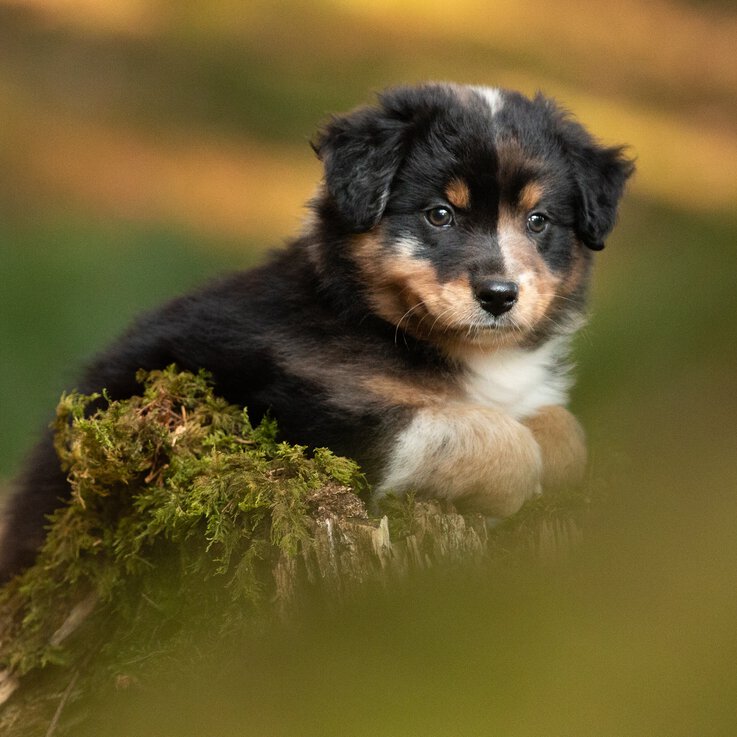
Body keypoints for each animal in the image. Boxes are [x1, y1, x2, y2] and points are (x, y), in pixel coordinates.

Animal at [0, 85, 632, 580]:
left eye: (538, 221)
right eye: (439, 215)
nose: (499, 296)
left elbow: (565, 428)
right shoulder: (301, 408)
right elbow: (498, 441)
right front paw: (523, 476)